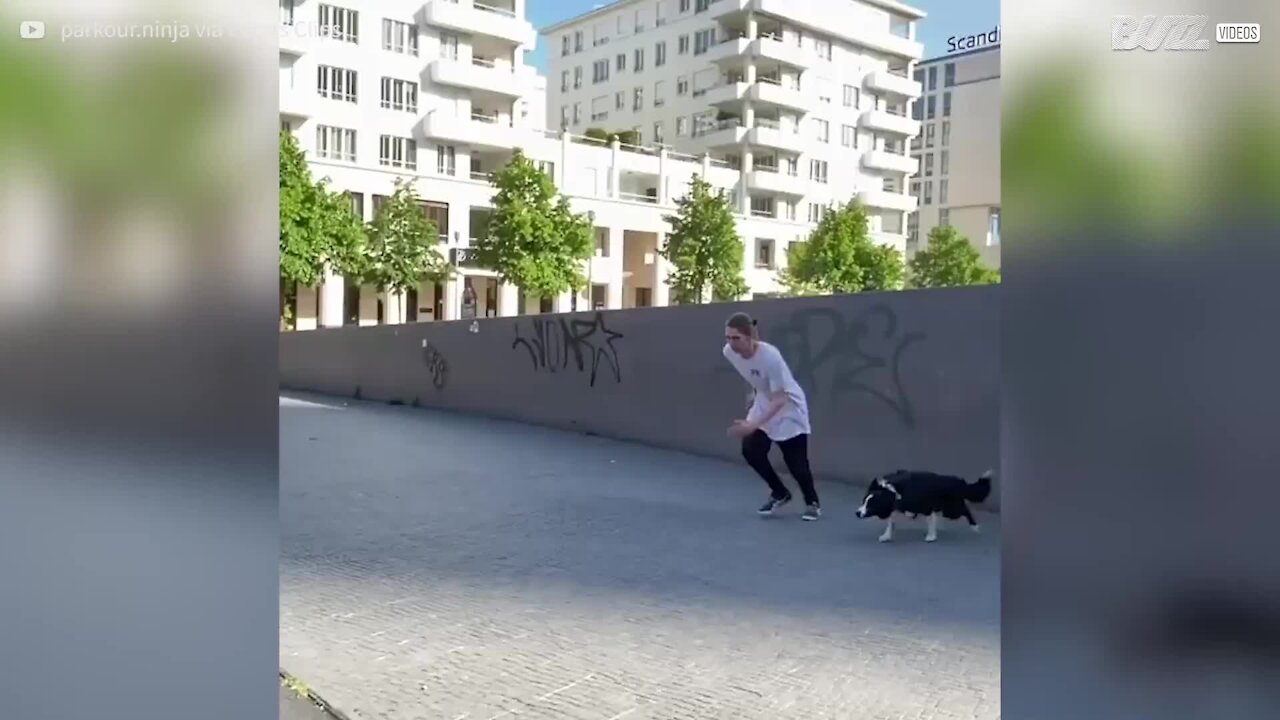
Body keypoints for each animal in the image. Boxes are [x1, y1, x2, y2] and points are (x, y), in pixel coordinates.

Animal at [855, 468, 993, 540]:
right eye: (863, 501)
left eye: (871, 504)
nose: (857, 513)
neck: (891, 492)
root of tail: (960, 482)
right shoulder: (894, 508)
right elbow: (891, 522)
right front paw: (886, 536)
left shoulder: (926, 507)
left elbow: (930, 520)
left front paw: (931, 536)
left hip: (952, 510)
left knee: (965, 510)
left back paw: (975, 527)